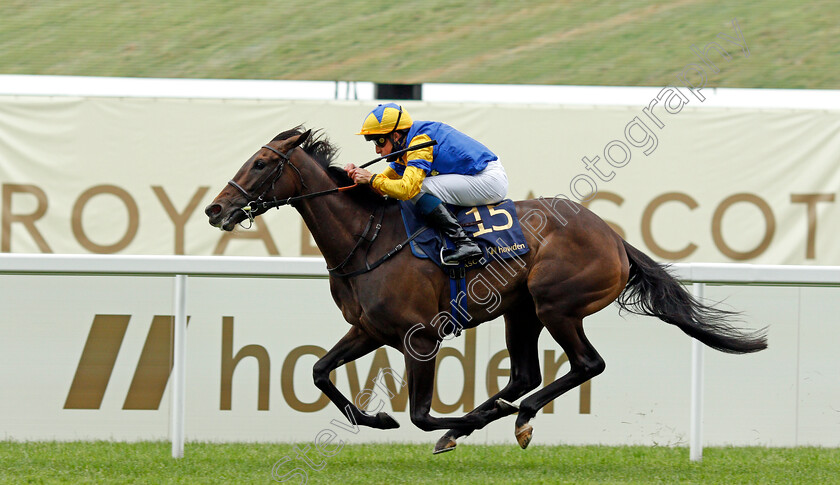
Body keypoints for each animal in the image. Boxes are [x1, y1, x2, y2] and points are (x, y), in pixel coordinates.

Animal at [203, 126, 768, 452]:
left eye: (260, 164)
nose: (214, 209)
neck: (367, 239)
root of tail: (614, 238)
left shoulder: (420, 335)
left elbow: (420, 414)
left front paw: (462, 420)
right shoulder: (369, 330)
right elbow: (319, 372)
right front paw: (378, 419)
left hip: (556, 303)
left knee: (586, 364)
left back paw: (513, 418)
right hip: (521, 311)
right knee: (524, 374)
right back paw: (486, 418)